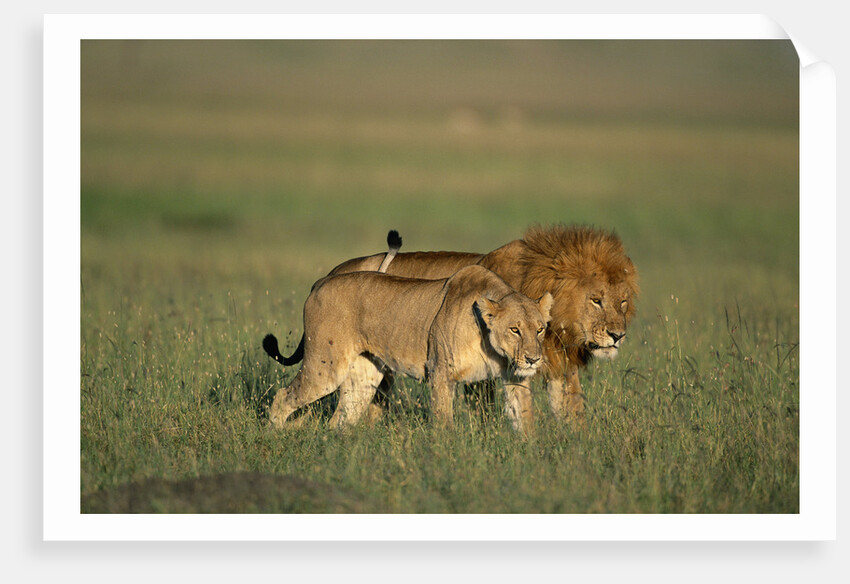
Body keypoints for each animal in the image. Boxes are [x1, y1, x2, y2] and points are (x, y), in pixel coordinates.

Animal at [265, 265, 553, 435]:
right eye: (514, 330)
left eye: (540, 329)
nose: (533, 359)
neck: (494, 349)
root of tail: (321, 281)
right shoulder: (441, 372)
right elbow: (443, 421)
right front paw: (445, 456)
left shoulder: (515, 376)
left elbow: (524, 417)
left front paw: (529, 455)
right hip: (326, 367)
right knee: (282, 396)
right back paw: (274, 436)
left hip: (364, 377)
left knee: (341, 418)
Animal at [320, 224, 639, 420]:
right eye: (596, 300)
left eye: (622, 302)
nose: (618, 335)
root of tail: (331, 273)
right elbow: (484, 413)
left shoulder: (560, 367)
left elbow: (572, 413)